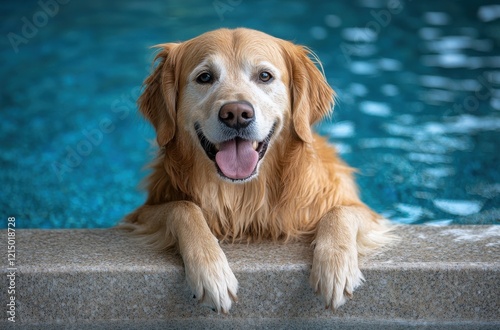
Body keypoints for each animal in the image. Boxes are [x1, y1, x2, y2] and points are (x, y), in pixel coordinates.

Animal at [122, 27, 394, 312]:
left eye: (265, 76)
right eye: (204, 77)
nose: (236, 113)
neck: (245, 196)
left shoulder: (366, 213)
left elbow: (340, 211)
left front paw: (335, 267)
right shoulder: (140, 215)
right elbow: (183, 208)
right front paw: (212, 272)